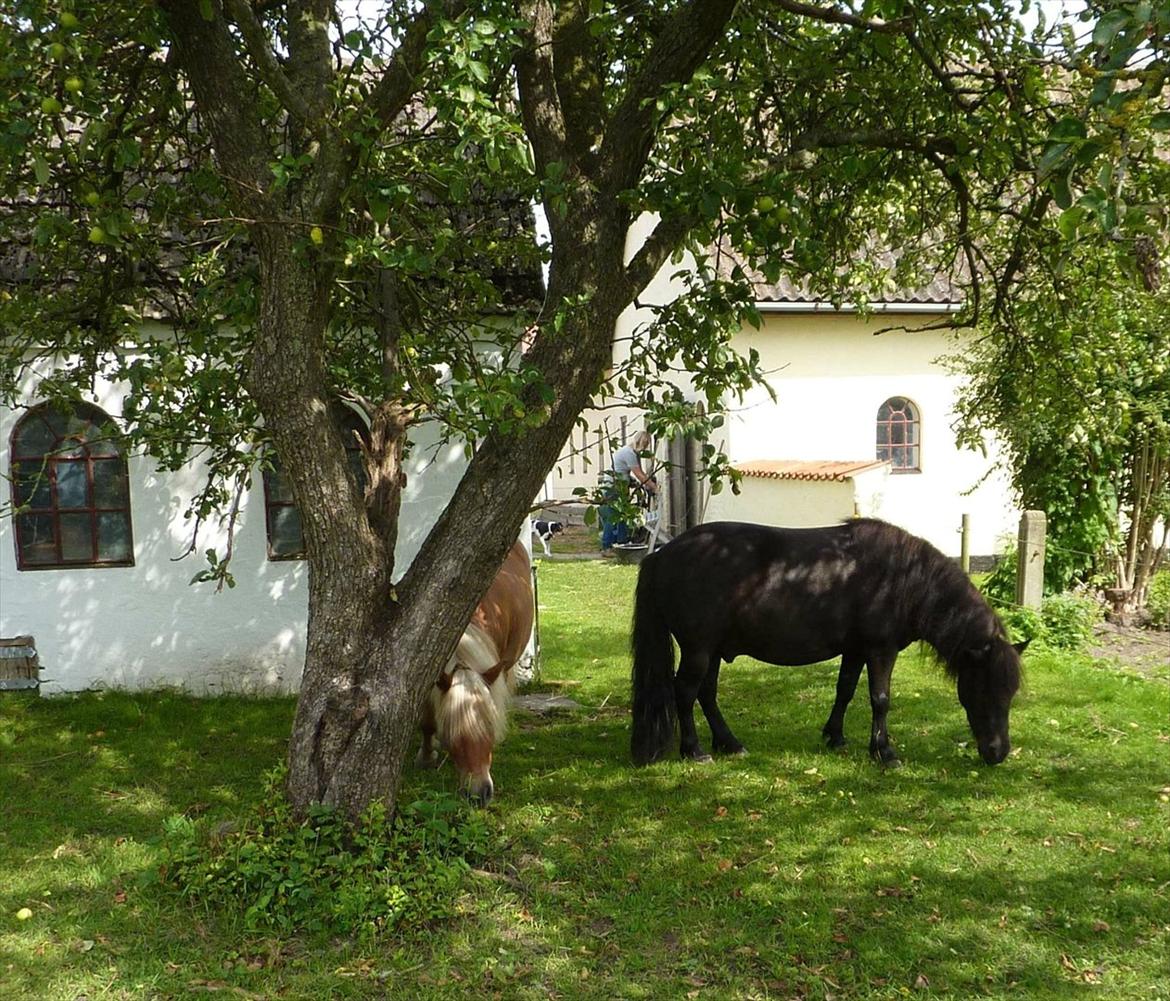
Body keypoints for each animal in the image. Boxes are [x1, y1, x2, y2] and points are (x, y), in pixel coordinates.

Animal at [631, 523, 1024, 767]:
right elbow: (880, 699)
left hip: (711, 651)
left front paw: (835, 737)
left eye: (1011, 692)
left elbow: (845, 690)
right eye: (985, 688)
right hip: (698, 649)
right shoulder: (881, 650)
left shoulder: (855, 650)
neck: (901, 578)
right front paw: (884, 752)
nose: (998, 752)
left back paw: (730, 743)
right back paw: (694, 750)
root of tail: (662, 554)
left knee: (706, 694)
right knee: (685, 693)